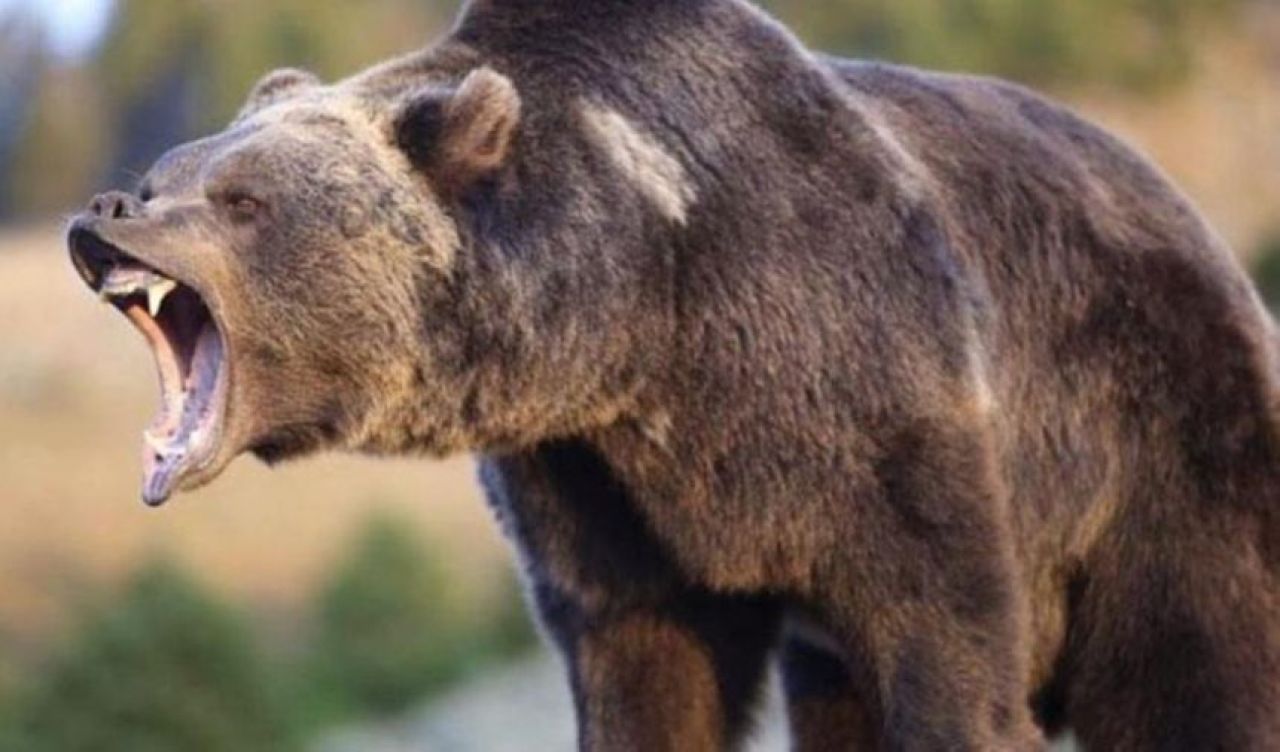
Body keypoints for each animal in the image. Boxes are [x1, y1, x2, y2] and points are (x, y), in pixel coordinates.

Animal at [67, 1, 1280, 752]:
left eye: (242, 199)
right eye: (165, 173)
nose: (106, 208)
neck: (644, 319)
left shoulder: (883, 397)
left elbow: (947, 641)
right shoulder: (598, 490)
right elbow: (646, 668)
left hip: (1164, 442)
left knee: (1195, 670)